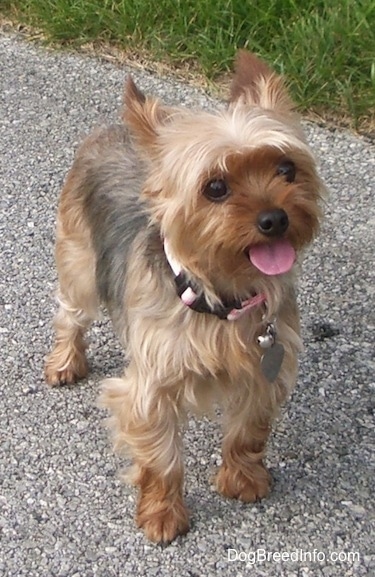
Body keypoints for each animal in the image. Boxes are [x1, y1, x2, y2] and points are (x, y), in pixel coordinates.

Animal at [44, 51, 326, 544]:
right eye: (215, 187)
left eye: (286, 168)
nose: (275, 218)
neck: (223, 298)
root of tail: (111, 129)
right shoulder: (152, 383)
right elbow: (161, 458)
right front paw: (162, 515)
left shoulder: (265, 370)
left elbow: (248, 432)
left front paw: (243, 479)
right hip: (79, 259)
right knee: (71, 315)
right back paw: (65, 362)